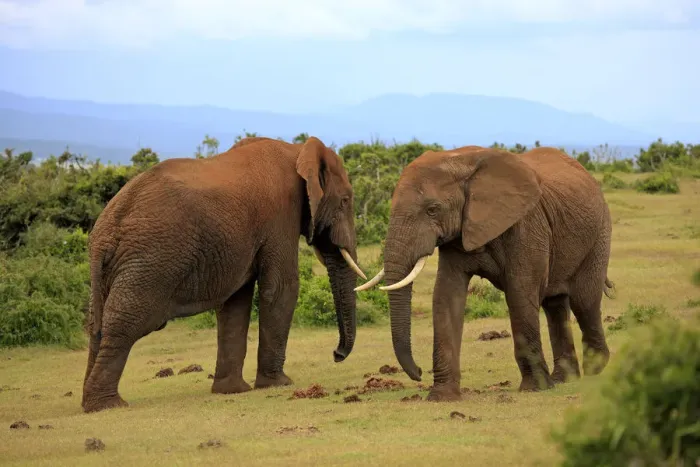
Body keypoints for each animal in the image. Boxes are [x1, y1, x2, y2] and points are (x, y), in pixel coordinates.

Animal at [81, 136, 366, 413]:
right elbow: (281, 288)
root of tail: (105, 229)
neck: (296, 150)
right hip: (150, 260)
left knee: (97, 325)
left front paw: (232, 391)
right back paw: (107, 405)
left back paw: (90, 402)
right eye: (345, 201)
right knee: (127, 322)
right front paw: (279, 384)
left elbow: (235, 301)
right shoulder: (281, 214)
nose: (336, 355)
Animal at [355, 145, 614, 401]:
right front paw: (441, 397)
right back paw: (564, 379)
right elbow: (446, 296)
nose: (418, 372)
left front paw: (536, 388)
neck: (462, 161)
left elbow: (520, 292)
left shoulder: (527, 225)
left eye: (432, 210)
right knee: (555, 305)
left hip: (599, 233)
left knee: (584, 301)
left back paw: (595, 371)